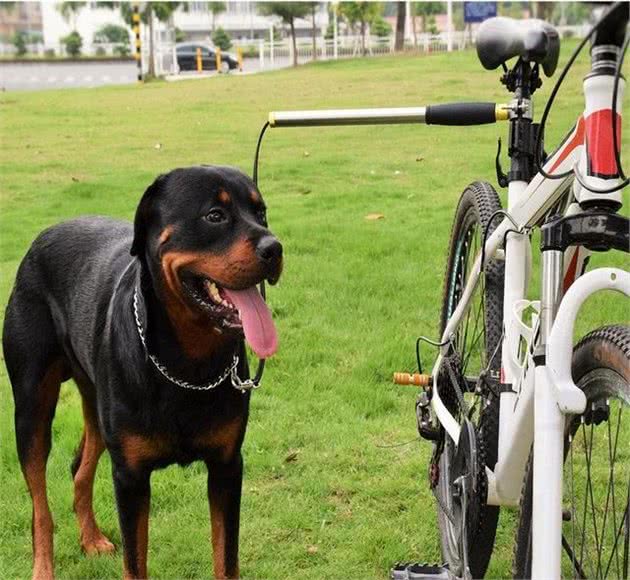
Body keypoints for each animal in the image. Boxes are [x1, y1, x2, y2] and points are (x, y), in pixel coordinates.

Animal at [2, 165, 284, 576]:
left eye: (261, 213)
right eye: (215, 215)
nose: (275, 248)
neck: (188, 364)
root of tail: (44, 235)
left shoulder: (227, 465)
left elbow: (226, 559)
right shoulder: (130, 477)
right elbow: (135, 565)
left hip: (95, 403)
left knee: (80, 467)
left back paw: (91, 538)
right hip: (31, 406)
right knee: (40, 507)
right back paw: (43, 568)